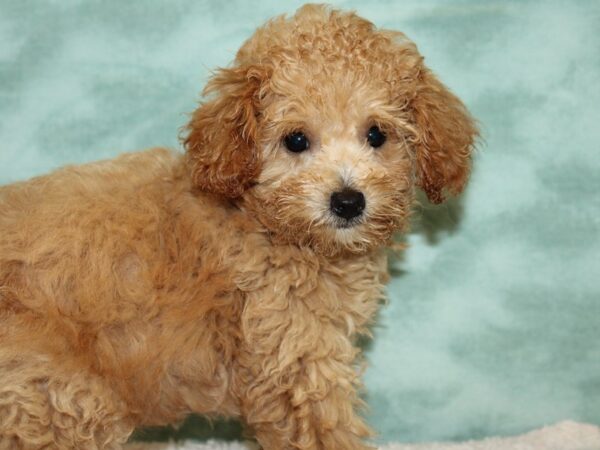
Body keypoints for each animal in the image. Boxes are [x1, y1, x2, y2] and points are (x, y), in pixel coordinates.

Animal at [0, 3, 478, 450]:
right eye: (296, 140)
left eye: (377, 134)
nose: (347, 201)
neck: (262, 219)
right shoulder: (295, 355)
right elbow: (326, 428)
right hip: (55, 394)